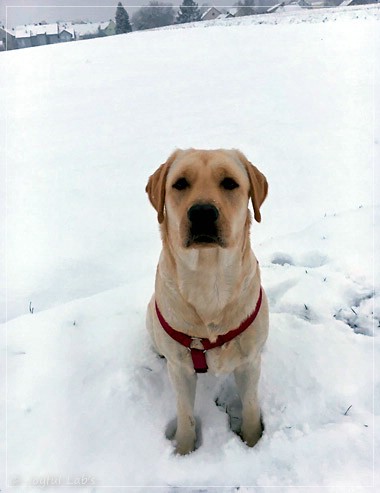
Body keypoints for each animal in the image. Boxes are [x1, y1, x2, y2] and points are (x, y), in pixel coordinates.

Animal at [146, 149, 270, 454]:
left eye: (229, 183)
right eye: (180, 183)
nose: (202, 212)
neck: (209, 280)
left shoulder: (249, 364)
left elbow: (250, 407)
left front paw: (252, 440)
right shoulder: (180, 371)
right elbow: (185, 415)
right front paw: (184, 450)